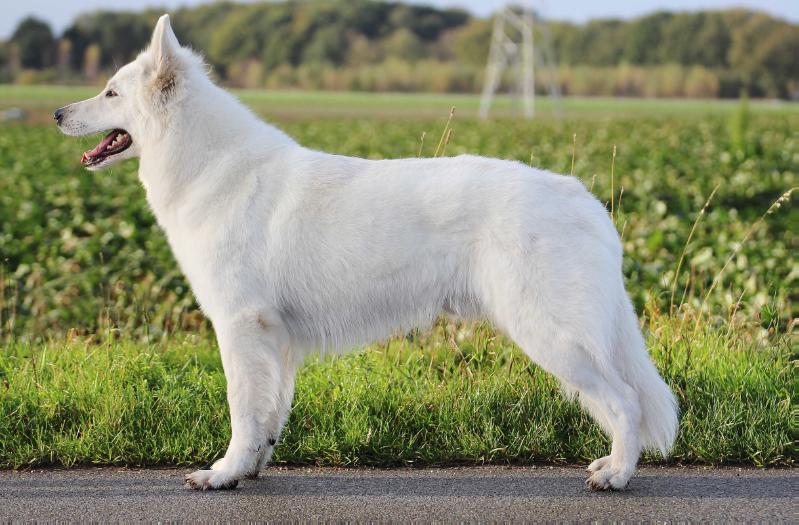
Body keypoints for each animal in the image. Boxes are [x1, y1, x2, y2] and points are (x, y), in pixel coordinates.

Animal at [56, 16, 680, 492]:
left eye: (111, 92)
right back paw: (612, 464)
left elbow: (242, 409)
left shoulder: (240, 327)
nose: (58, 113)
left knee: (625, 402)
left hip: (552, 336)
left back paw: (617, 476)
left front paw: (223, 474)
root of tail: (583, 200)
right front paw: (251, 468)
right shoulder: (274, 340)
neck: (209, 163)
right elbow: (268, 414)